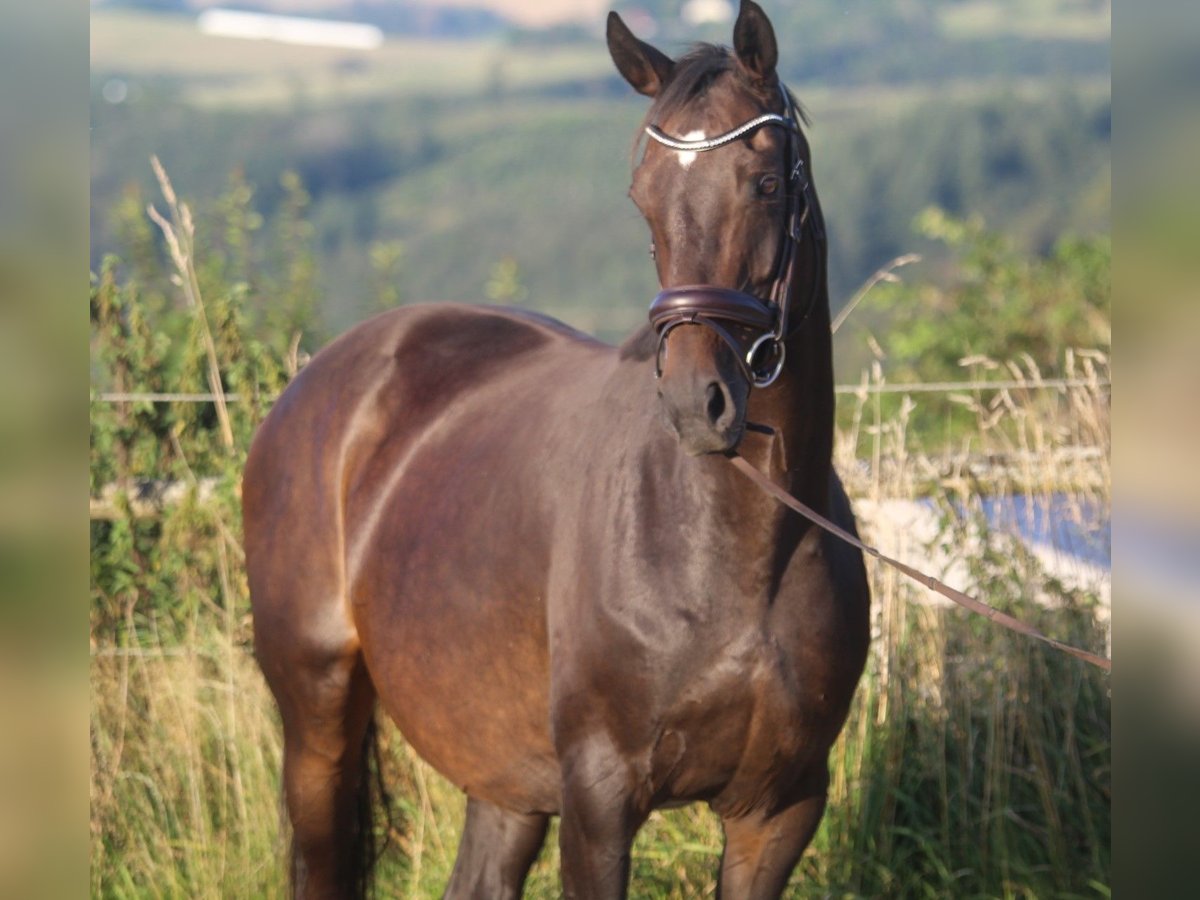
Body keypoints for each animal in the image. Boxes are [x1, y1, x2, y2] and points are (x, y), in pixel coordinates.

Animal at [241, 3, 873, 897]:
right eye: (644, 199)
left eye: (768, 184)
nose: (697, 402)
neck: (740, 549)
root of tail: (318, 382)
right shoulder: (600, 800)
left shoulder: (777, 811)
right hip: (317, 721)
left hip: (501, 767)